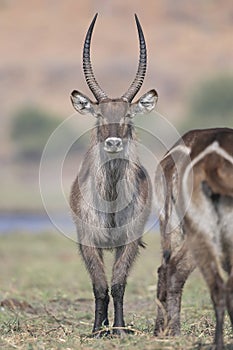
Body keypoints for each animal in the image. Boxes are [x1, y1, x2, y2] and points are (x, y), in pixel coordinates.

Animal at [69, 14, 157, 336]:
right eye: (99, 115)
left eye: (128, 115)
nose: (113, 142)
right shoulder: (87, 241)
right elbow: (99, 286)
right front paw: (97, 329)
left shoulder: (130, 241)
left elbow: (118, 284)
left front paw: (118, 328)